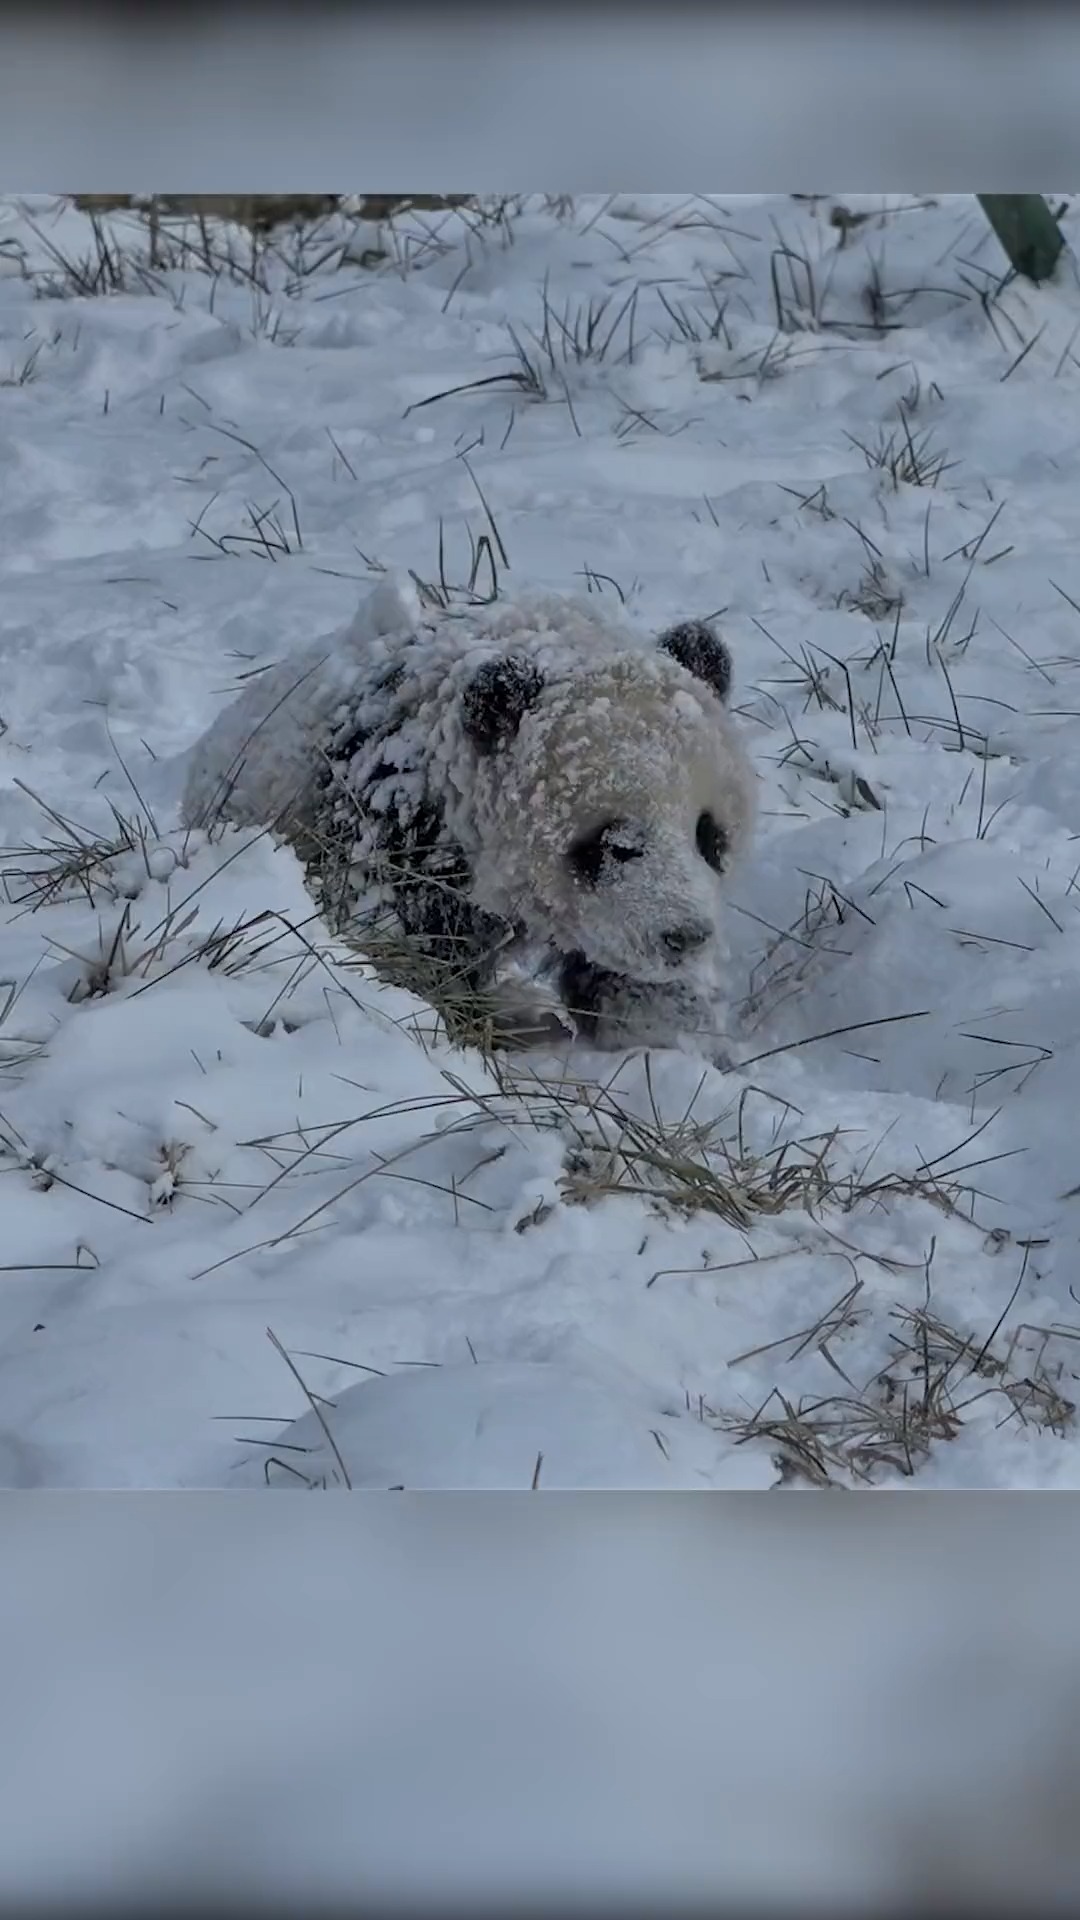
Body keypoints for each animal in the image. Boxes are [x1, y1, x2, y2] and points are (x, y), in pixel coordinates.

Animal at [180, 576, 753, 1059]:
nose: (684, 937)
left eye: (709, 835)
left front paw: (665, 1030)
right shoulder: (389, 824)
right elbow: (387, 948)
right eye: (611, 842)